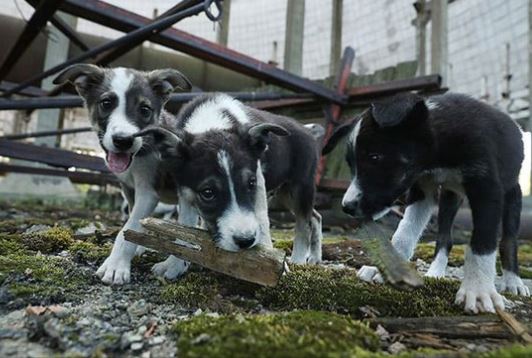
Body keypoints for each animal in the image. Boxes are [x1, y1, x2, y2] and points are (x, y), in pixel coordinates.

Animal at [53, 63, 195, 282]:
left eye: (144, 109)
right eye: (106, 103)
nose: (123, 140)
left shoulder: (148, 191)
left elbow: (127, 228)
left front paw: (115, 266)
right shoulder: (129, 189)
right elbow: (134, 222)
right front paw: (137, 247)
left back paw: (176, 263)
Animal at [139, 93, 322, 262]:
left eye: (250, 184)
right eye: (207, 193)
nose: (245, 241)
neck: (211, 122)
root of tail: (307, 129)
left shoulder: (259, 184)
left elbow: (262, 220)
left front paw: (268, 256)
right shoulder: (185, 191)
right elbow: (185, 224)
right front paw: (173, 266)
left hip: (300, 186)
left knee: (304, 224)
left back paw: (298, 261)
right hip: (284, 193)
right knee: (315, 217)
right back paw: (314, 257)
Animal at [322, 92, 528, 314]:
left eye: (375, 157)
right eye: (351, 164)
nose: (347, 206)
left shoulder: (487, 188)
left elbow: (482, 241)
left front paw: (478, 290)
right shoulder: (422, 188)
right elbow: (405, 233)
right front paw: (389, 269)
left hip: (512, 195)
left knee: (509, 240)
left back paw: (513, 281)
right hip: (449, 197)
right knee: (445, 238)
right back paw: (435, 272)